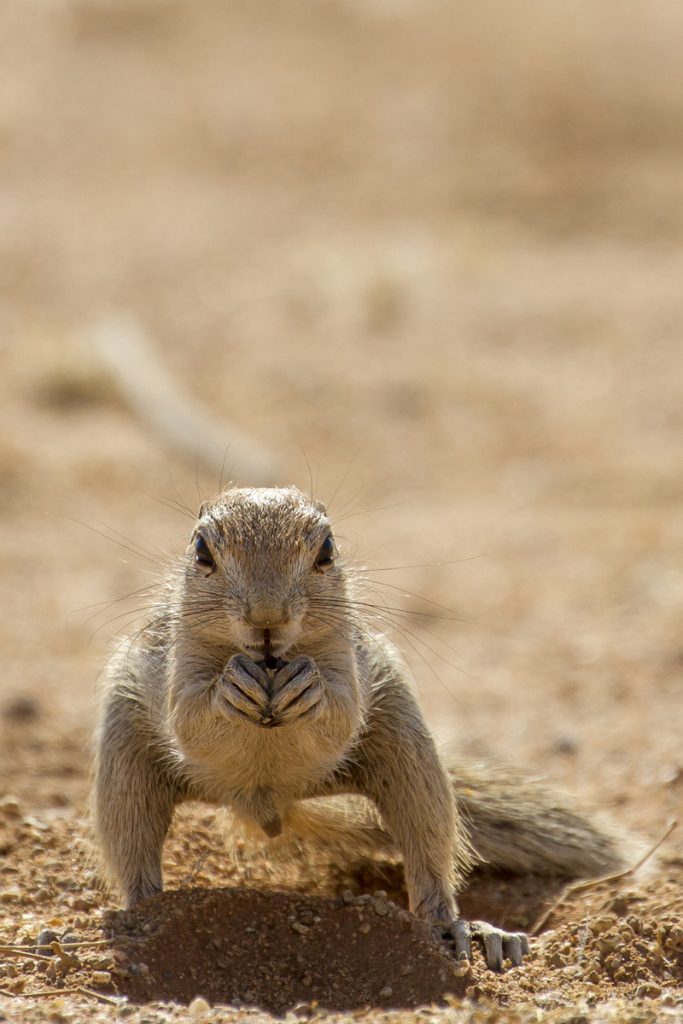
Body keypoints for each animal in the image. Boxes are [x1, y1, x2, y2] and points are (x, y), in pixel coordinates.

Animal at [94, 485, 630, 966]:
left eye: (327, 550)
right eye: (202, 551)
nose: (267, 616)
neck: (269, 664)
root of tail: (271, 803)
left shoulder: (347, 659)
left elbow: (342, 715)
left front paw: (309, 688)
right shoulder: (178, 661)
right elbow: (189, 719)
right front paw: (230, 688)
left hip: (410, 752)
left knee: (429, 856)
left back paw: (466, 931)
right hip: (124, 765)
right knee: (134, 855)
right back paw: (142, 918)